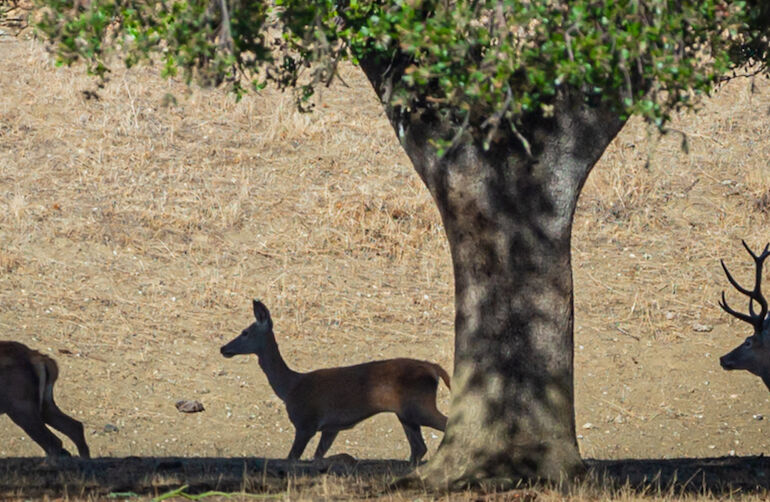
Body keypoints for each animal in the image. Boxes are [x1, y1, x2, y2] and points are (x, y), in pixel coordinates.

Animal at [220, 300, 450, 464]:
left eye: (245, 332)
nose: (223, 348)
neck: (289, 387)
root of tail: (433, 369)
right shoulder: (331, 428)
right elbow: (317, 456)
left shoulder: (306, 422)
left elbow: (292, 458)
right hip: (405, 413)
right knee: (418, 449)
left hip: (418, 406)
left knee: (444, 426)